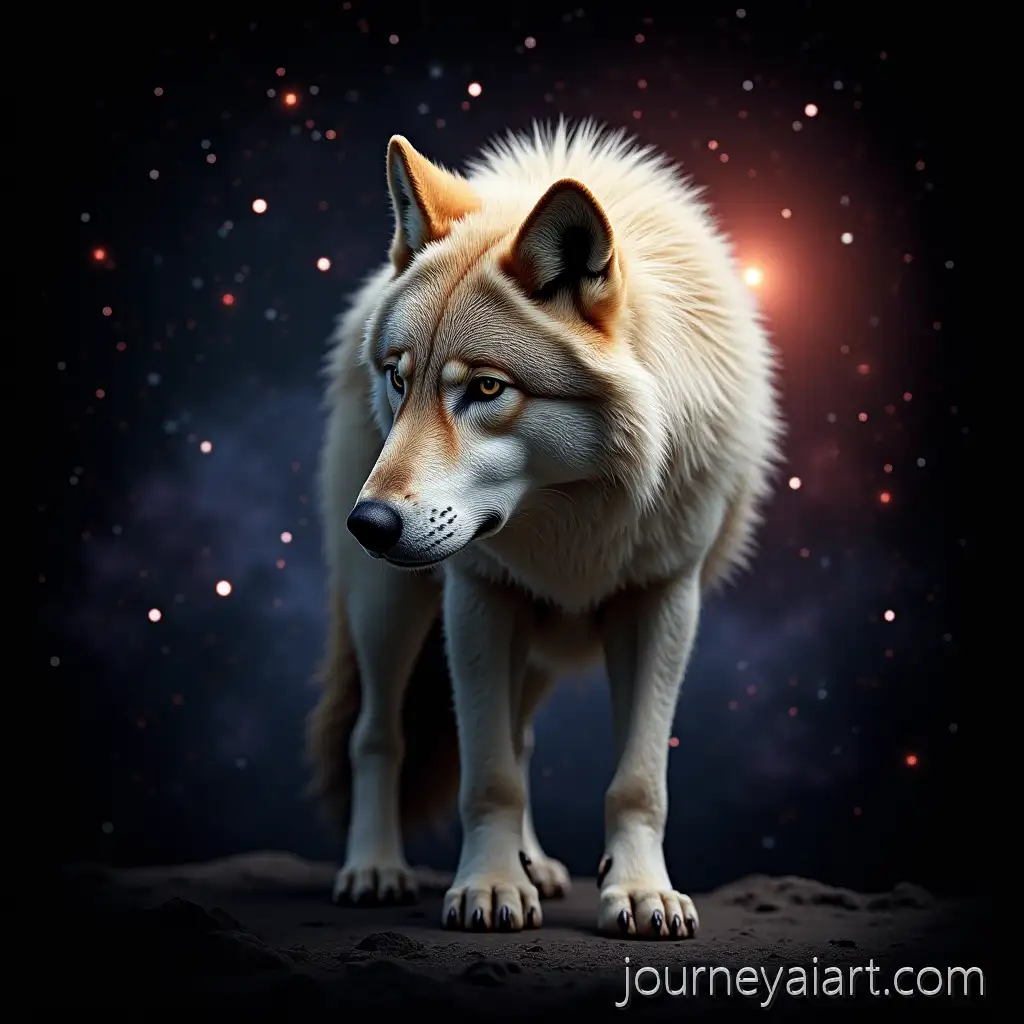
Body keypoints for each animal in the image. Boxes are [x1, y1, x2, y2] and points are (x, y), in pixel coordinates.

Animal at [308, 119, 782, 940]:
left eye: (485, 388)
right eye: (400, 379)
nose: (368, 523)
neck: (575, 511)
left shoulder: (665, 600)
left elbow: (637, 781)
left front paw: (641, 893)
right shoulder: (478, 597)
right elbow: (487, 775)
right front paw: (491, 887)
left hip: (533, 646)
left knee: (521, 735)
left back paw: (538, 865)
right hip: (391, 609)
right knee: (376, 733)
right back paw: (374, 869)